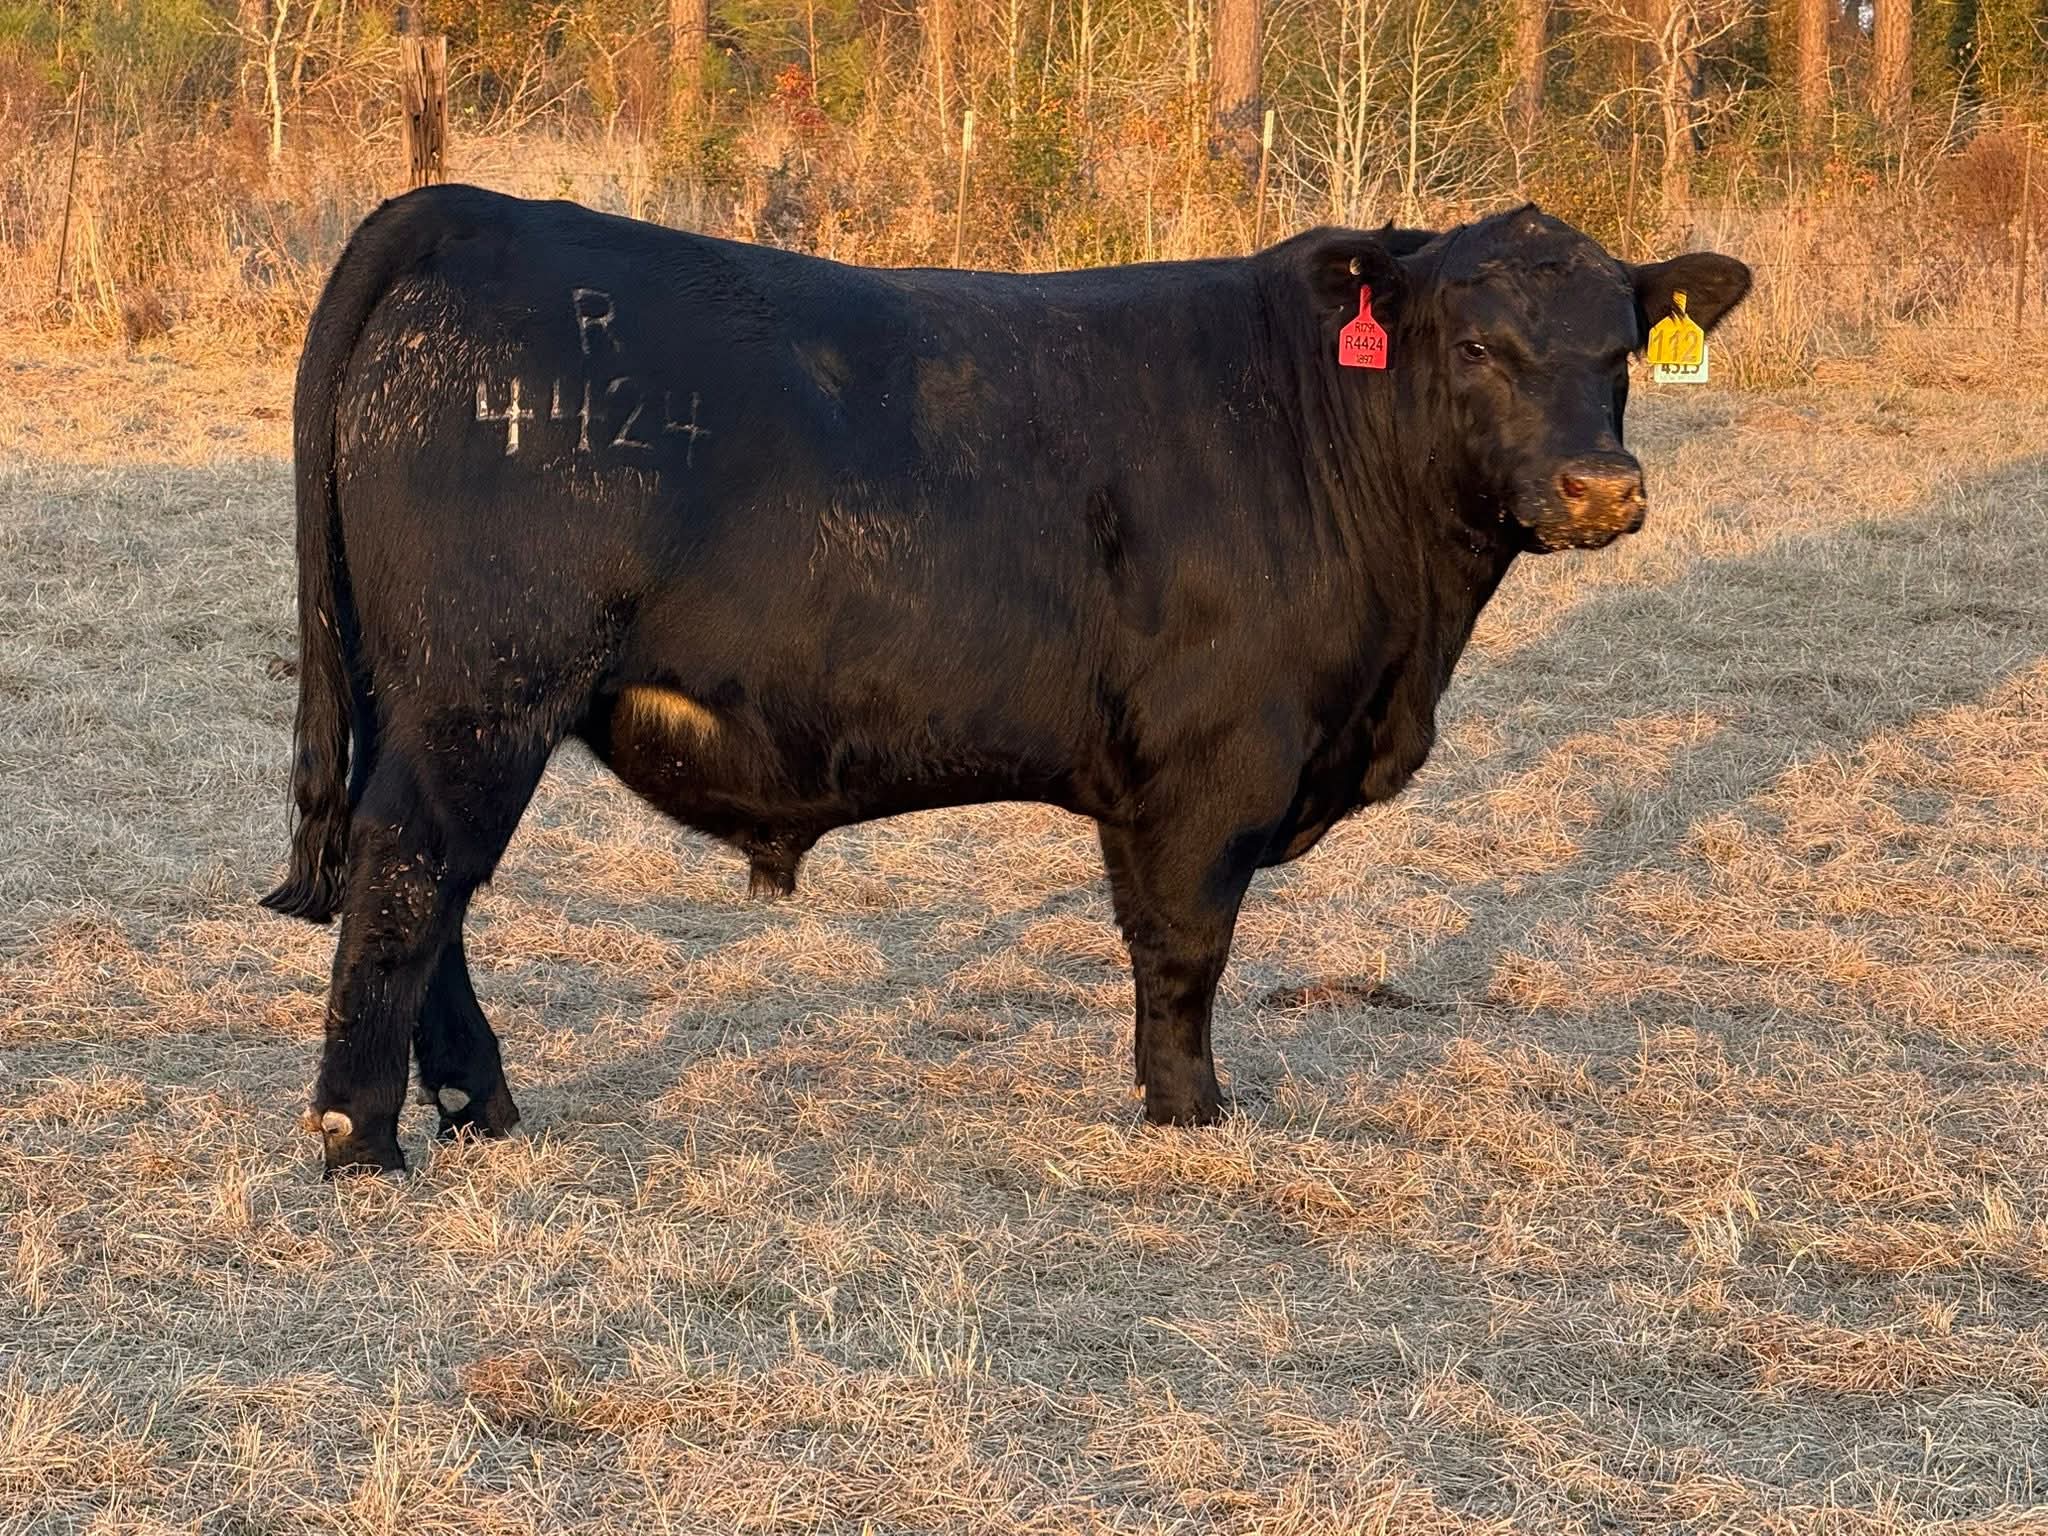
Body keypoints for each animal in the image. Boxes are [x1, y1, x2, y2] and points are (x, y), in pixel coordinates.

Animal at [263, 185, 1749, 1175]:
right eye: (1478, 344)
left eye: (1621, 348)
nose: (1600, 489)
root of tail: (474, 210)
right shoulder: (1213, 760)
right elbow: (1184, 945)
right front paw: (1191, 1114)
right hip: (482, 689)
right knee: (407, 870)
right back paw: (363, 1140)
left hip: (433, 697)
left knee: (433, 890)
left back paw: (479, 1109)